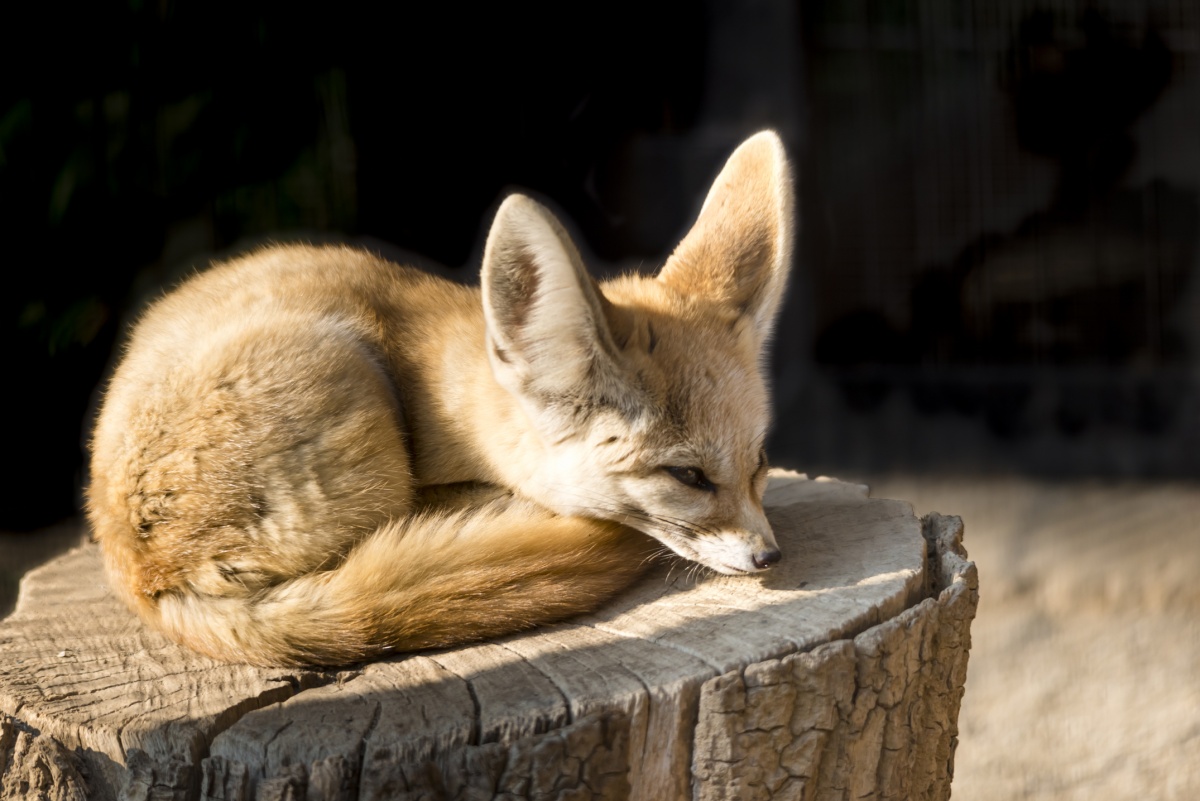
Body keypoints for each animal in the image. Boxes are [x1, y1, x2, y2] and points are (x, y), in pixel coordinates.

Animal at [87, 133, 796, 671]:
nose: (771, 557)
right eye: (688, 475)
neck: (456, 407)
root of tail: (141, 577)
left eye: (759, 463)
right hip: (347, 384)